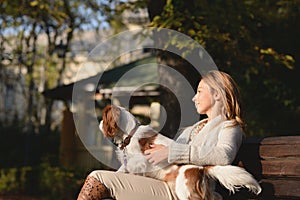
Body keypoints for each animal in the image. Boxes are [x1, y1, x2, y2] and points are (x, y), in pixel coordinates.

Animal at [99, 105, 260, 199]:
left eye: (103, 117)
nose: (100, 123)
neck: (130, 134)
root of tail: (201, 169)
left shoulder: (141, 160)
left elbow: (131, 166)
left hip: (186, 194)